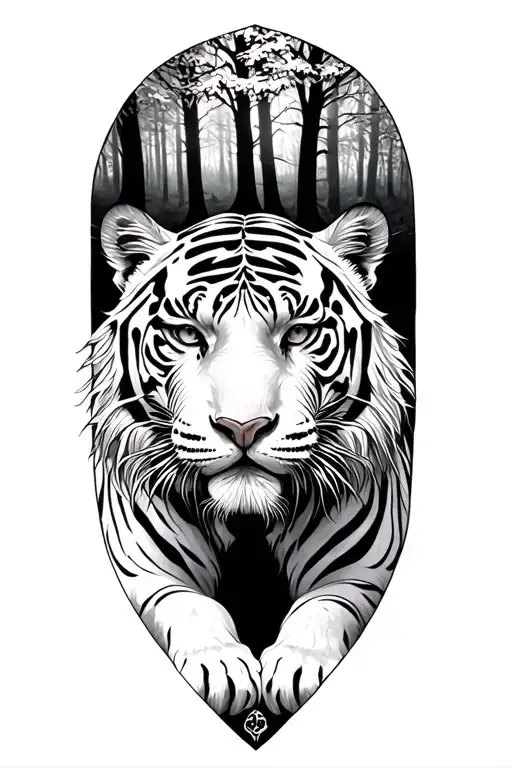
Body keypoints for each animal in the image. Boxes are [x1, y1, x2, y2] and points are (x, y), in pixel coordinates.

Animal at [83, 203, 413, 717]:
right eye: (186, 333)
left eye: (299, 332)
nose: (243, 427)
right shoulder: (145, 572)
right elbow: (191, 605)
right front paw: (218, 664)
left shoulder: (361, 574)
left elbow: (323, 607)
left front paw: (299, 665)